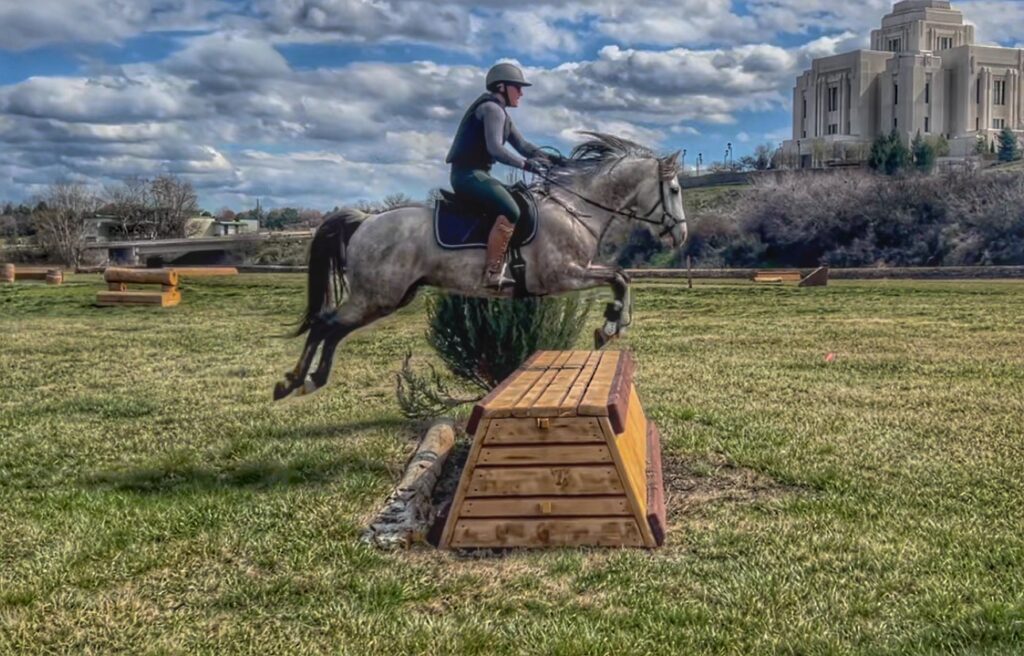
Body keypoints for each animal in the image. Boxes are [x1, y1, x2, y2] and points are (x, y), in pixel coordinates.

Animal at [272, 132, 688, 399]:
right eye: (675, 190)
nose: (681, 235)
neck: (574, 208)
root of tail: (367, 219)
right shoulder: (565, 274)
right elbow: (621, 277)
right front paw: (611, 326)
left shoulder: (574, 272)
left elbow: (622, 277)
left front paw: (611, 325)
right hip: (377, 296)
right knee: (325, 324)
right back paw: (295, 381)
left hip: (388, 297)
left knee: (332, 329)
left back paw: (306, 380)